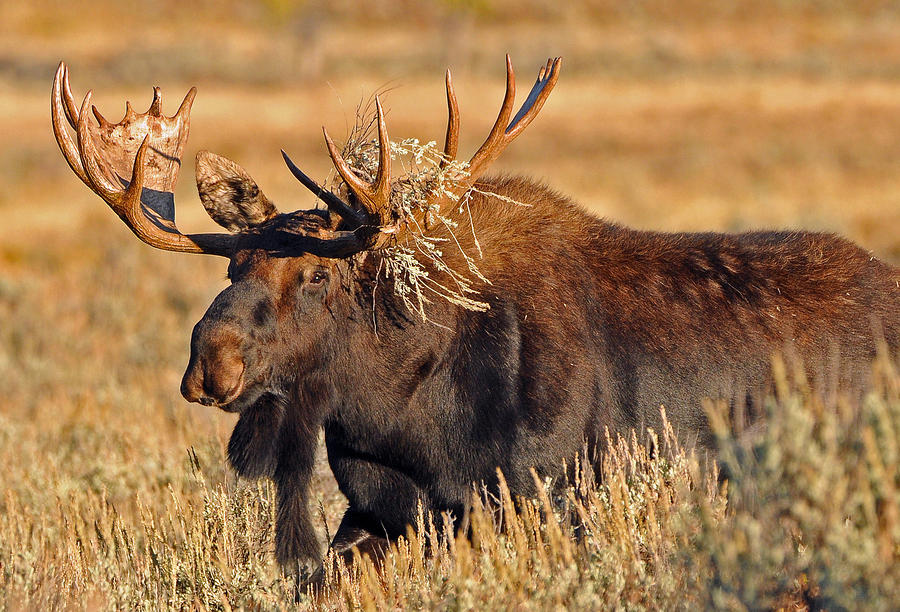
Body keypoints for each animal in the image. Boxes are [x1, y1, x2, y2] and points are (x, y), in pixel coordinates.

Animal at [51, 56, 900, 580]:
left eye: (319, 275)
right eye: (233, 266)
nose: (208, 364)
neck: (396, 416)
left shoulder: (550, 499)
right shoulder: (380, 513)